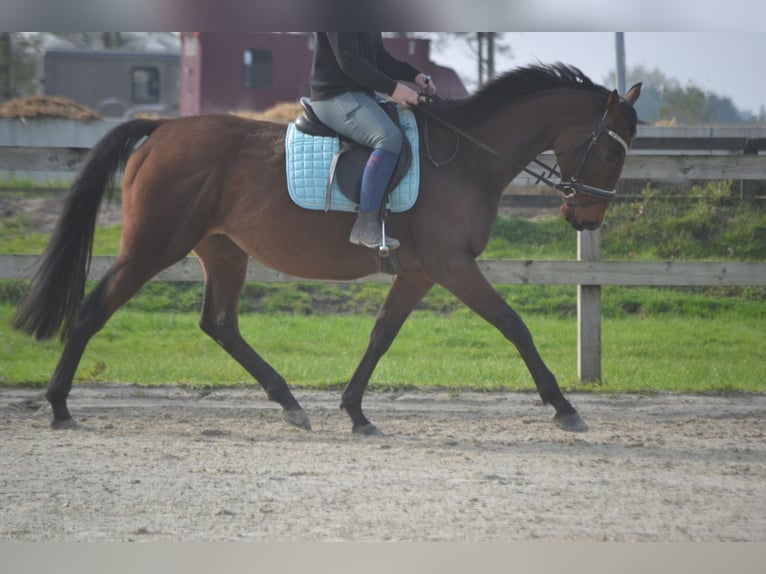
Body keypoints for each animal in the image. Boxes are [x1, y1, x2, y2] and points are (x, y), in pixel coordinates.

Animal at [15, 64, 644, 436]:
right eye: (614, 152)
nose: (584, 217)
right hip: (153, 246)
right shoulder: (451, 265)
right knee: (94, 310)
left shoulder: (420, 271)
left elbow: (382, 333)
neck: (467, 156)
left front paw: (356, 410)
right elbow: (514, 325)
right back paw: (59, 405)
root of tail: (161, 129)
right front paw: (563, 406)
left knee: (220, 324)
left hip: (224, 251)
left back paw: (289, 401)